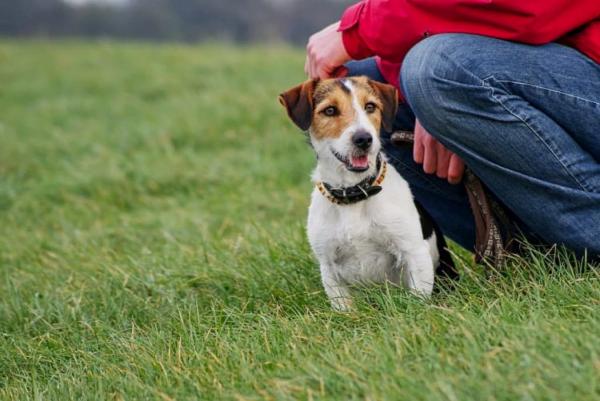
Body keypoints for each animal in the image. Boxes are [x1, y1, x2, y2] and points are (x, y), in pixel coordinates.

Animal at [278, 76, 458, 310]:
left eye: (370, 106)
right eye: (329, 110)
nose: (364, 139)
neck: (353, 194)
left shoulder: (414, 252)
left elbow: (417, 300)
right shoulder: (328, 266)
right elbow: (345, 309)